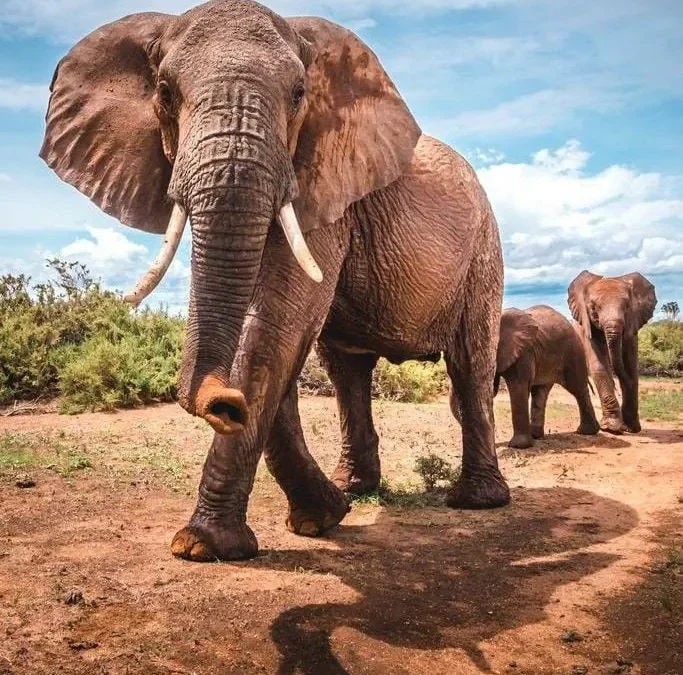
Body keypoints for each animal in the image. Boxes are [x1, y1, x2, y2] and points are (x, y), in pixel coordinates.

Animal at [40, 0, 509, 562]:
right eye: (165, 92)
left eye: (299, 94)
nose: (224, 404)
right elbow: (278, 337)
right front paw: (322, 518)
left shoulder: (324, 189)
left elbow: (278, 326)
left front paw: (203, 546)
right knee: (346, 371)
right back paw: (355, 489)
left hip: (483, 253)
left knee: (470, 361)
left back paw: (477, 501)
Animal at [495, 305, 600, 449]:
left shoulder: (524, 352)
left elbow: (518, 387)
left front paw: (518, 446)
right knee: (540, 392)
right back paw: (536, 436)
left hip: (572, 352)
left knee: (578, 389)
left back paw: (587, 432)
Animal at [568, 271, 657, 434]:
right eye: (593, 308)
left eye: (627, 307)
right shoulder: (587, 328)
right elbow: (599, 366)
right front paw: (612, 428)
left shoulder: (632, 327)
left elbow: (630, 366)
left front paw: (632, 428)